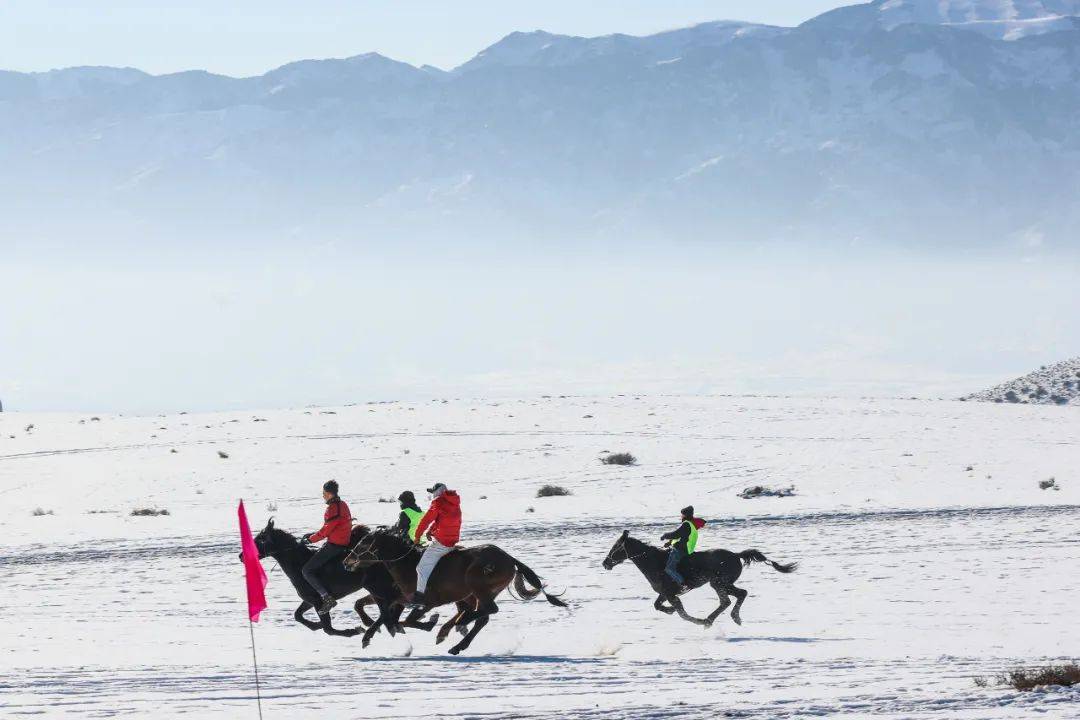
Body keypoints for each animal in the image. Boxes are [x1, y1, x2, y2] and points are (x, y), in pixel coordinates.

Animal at [243, 518, 439, 647]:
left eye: (260, 539)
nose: (241, 555)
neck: (298, 563)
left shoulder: (318, 601)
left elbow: (328, 629)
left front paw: (354, 631)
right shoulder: (310, 600)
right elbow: (298, 616)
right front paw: (315, 625)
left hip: (378, 588)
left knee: (391, 611)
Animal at [343, 528, 568, 655]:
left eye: (362, 543)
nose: (346, 562)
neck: (407, 565)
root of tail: (509, 558)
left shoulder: (423, 601)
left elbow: (401, 620)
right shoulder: (399, 599)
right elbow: (393, 619)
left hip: (477, 586)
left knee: (488, 610)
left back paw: (458, 626)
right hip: (484, 591)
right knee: (483, 616)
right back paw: (458, 643)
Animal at [602, 530, 797, 627]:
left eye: (616, 546)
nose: (605, 563)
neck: (653, 561)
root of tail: (736, 555)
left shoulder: (671, 594)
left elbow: (682, 613)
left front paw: (695, 619)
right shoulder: (664, 593)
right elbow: (657, 605)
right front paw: (669, 611)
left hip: (719, 583)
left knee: (732, 598)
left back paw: (710, 620)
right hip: (721, 584)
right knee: (736, 596)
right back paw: (730, 618)